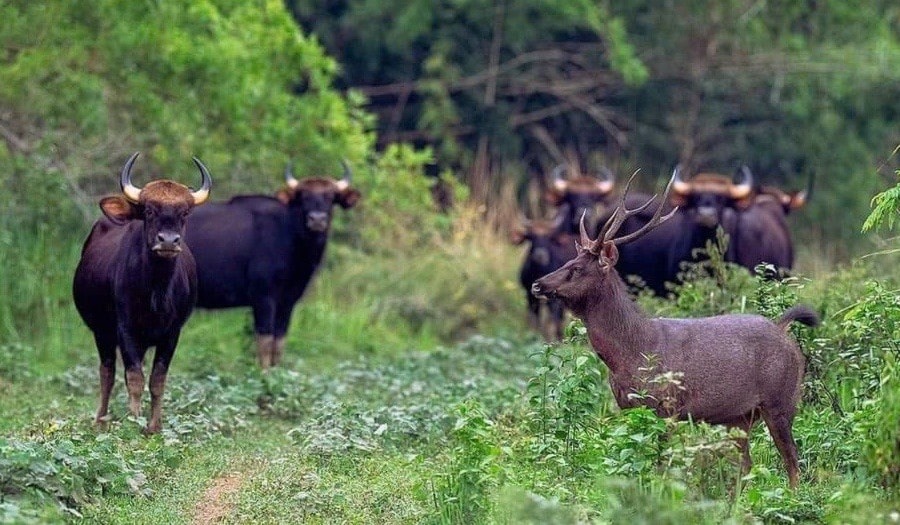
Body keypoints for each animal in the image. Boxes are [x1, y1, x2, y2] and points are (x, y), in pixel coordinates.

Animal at [532, 172, 820, 488]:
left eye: (577, 269)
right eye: (568, 261)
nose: (537, 284)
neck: (630, 352)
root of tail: (783, 328)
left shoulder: (667, 406)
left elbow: (660, 464)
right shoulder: (627, 406)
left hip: (781, 398)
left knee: (792, 461)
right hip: (741, 415)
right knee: (747, 465)